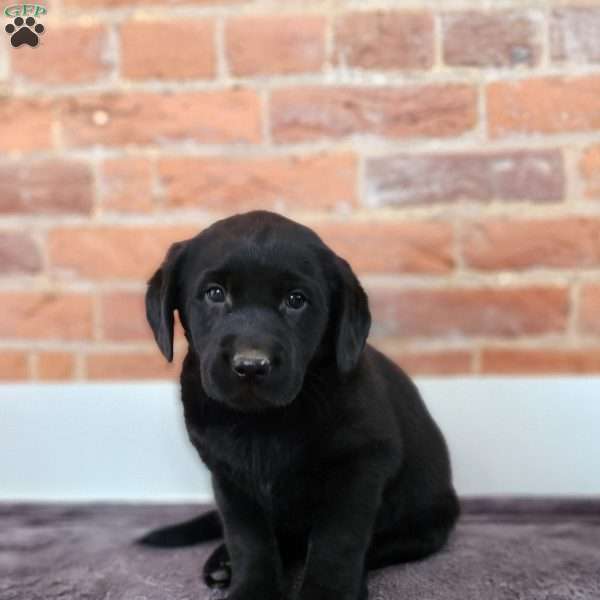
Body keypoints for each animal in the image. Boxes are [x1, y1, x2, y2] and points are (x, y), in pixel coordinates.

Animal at [141, 212, 460, 600]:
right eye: (215, 293)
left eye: (296, 300)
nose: (251, 365)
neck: (263, 422)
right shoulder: (229, 479)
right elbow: (248, 539)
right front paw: (252, 589)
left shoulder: (360, 467)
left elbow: (337, 541)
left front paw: (328, 592)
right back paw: (223, 563)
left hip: (427, 522)